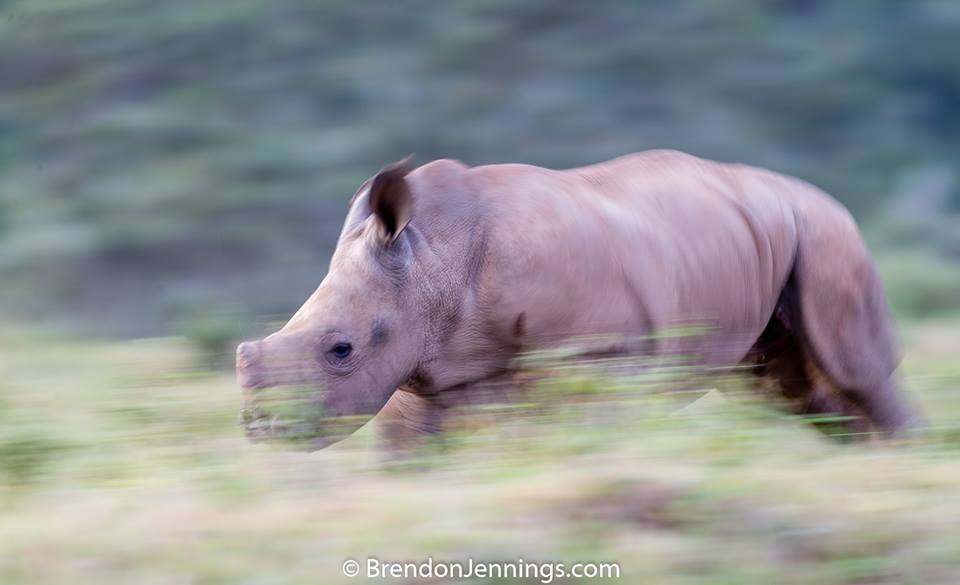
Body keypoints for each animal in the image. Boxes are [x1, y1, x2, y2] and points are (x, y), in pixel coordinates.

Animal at [236, 149, 920, 448]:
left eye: (341, 349)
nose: (262, 431)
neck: (432, 259)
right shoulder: (421, 366)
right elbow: (407, 453)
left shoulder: (604, 354)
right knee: (792, 389)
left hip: (826, 229)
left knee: (854, 368)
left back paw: (904, 459)